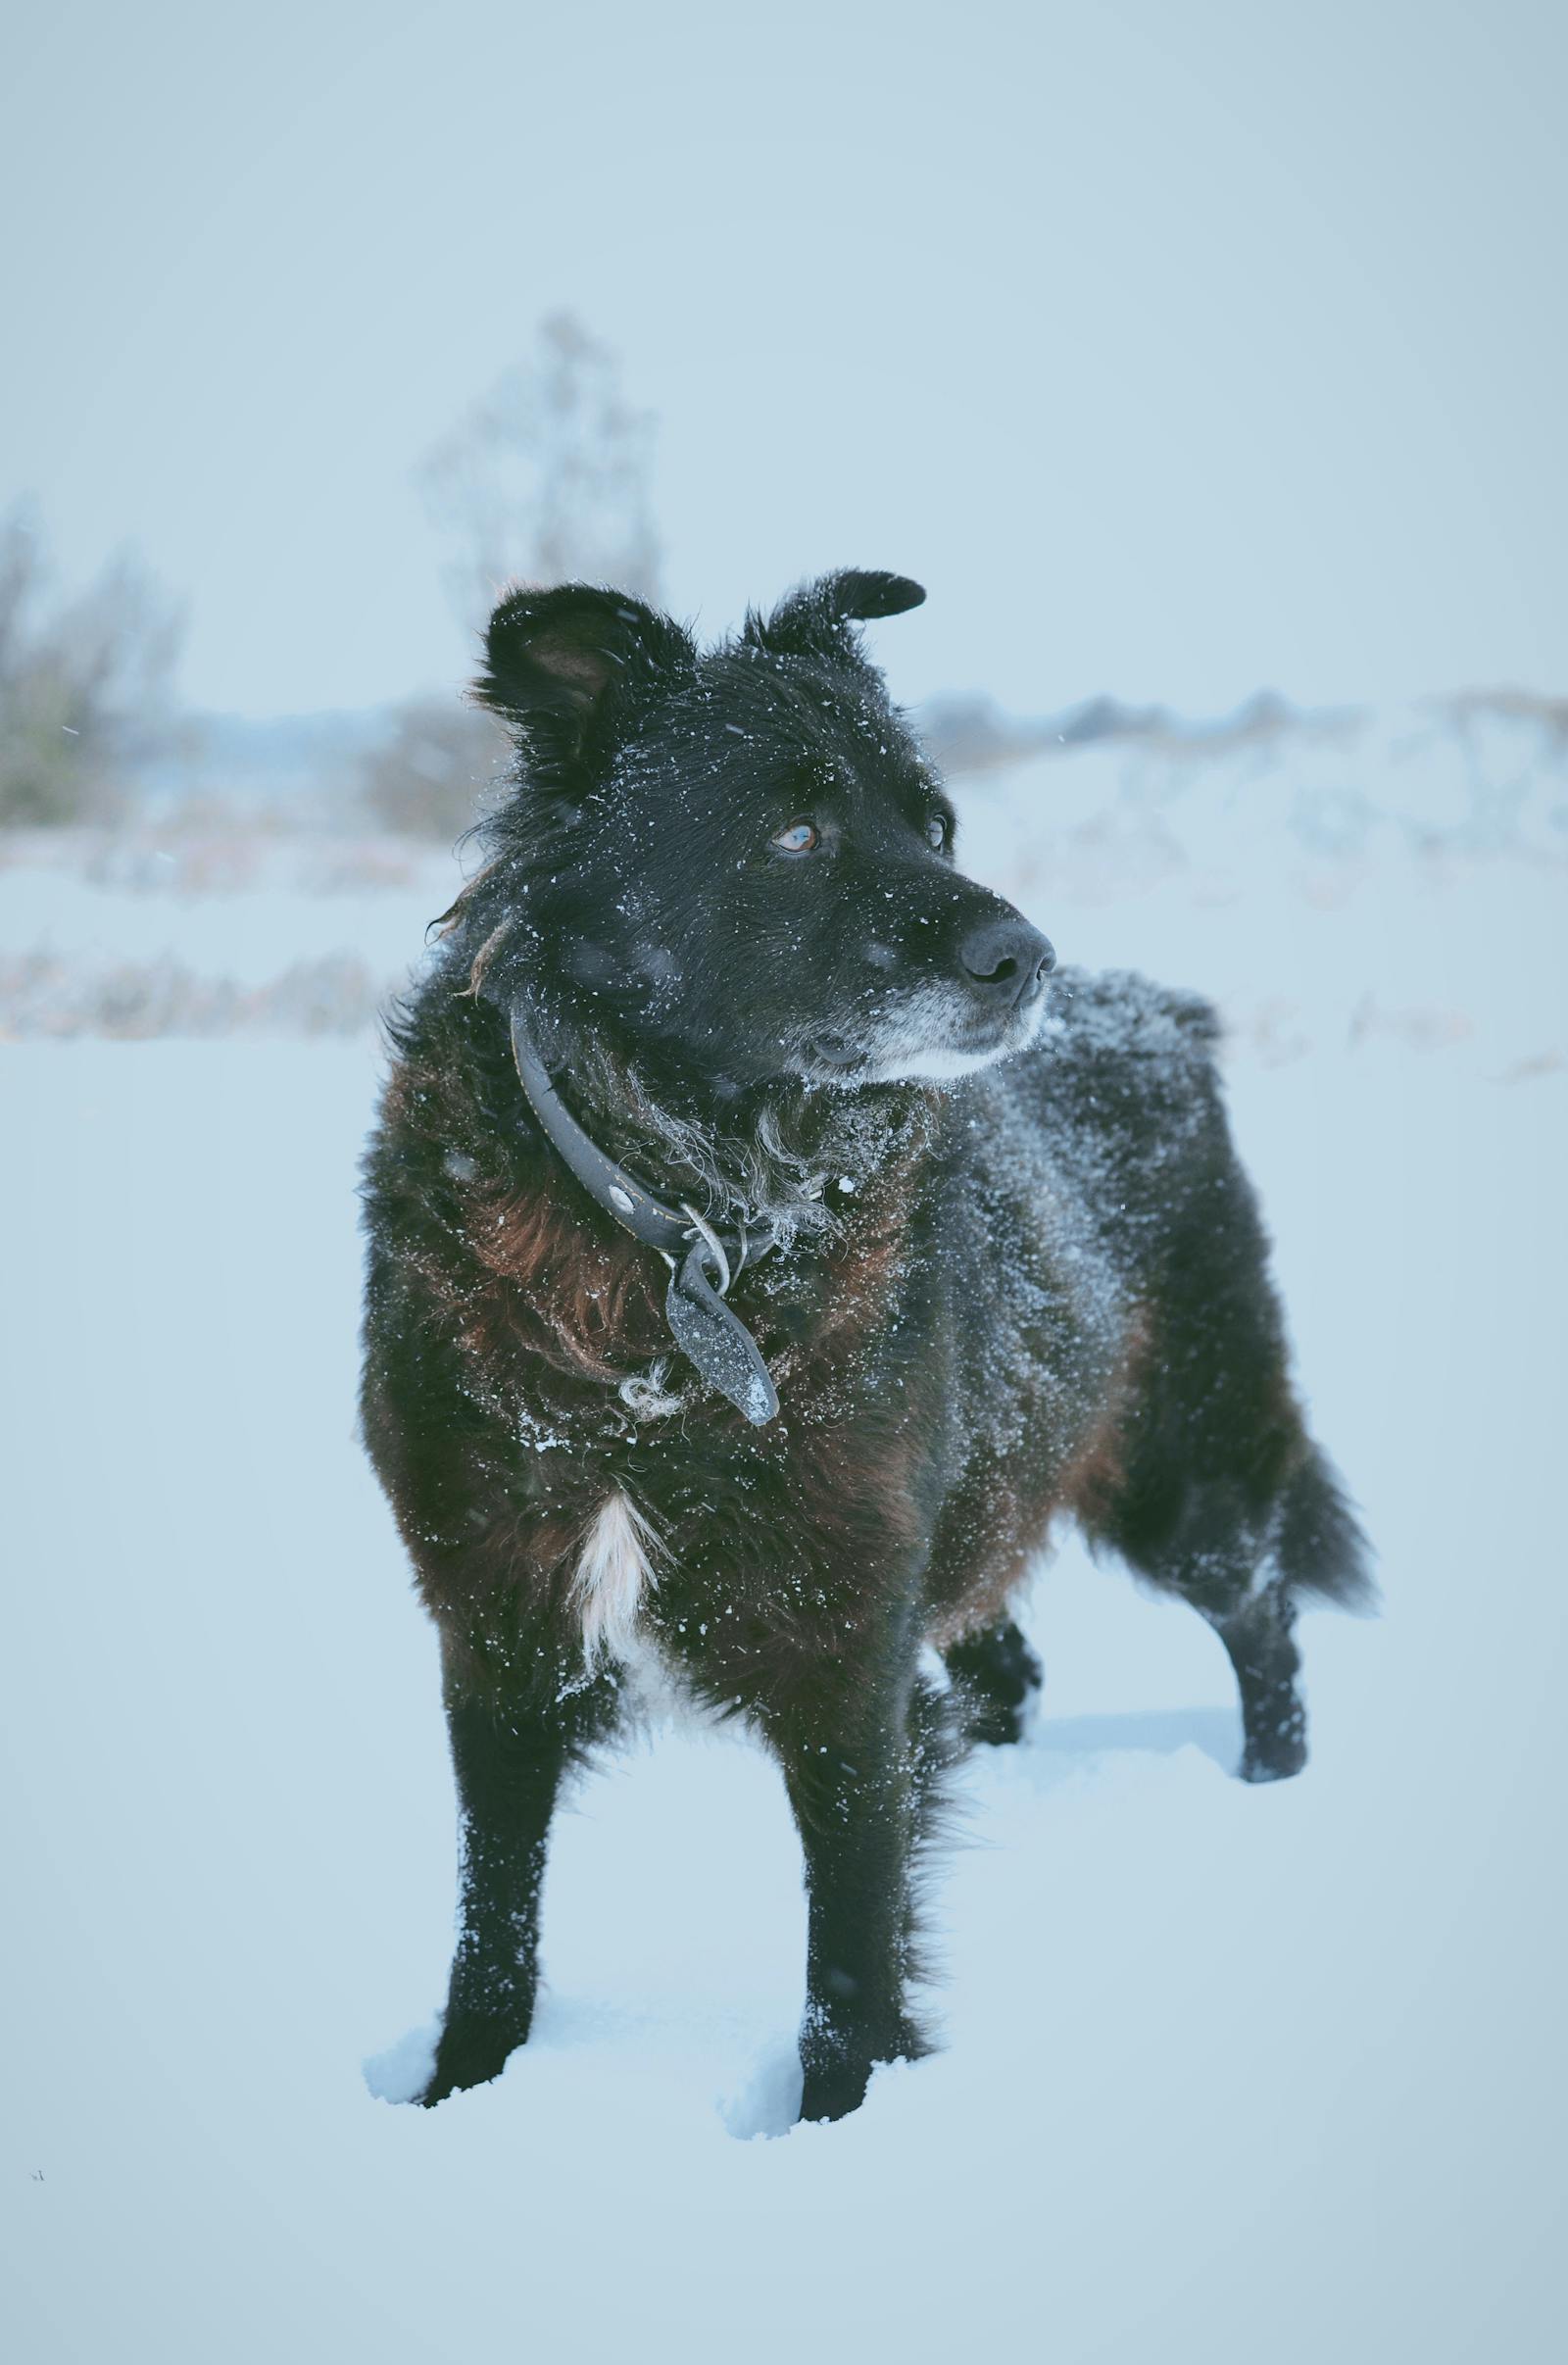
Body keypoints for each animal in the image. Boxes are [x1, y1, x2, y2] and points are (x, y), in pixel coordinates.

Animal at [362, 567, 1371, 2128]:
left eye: (934, 825)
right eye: (794, 831)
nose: (1027, 958)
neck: (685, 1230)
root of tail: (1159, 1009)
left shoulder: (843, 1645)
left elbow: (850, 1942)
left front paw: (838, 2126)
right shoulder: (501, 1625)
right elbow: (494, 1910)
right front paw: (462, 2092)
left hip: (1175, 1468)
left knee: (1261, 1611)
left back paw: (1271, 1784)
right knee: (1006, 1666)